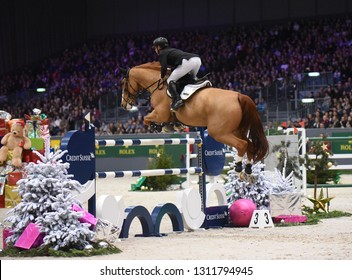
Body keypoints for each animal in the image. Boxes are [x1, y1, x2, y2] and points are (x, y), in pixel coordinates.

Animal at [119, 61, 268, 177]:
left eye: (123, 83)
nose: (124, 104)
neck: (159, 85)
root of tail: (239, 96)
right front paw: (173, 126)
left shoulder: (160, 113)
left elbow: (146, 119)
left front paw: (157, 127)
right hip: (236, 130)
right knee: (250, 144)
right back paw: (247, 169)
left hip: (219, 132)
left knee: (242, 144)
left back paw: (238, 168)